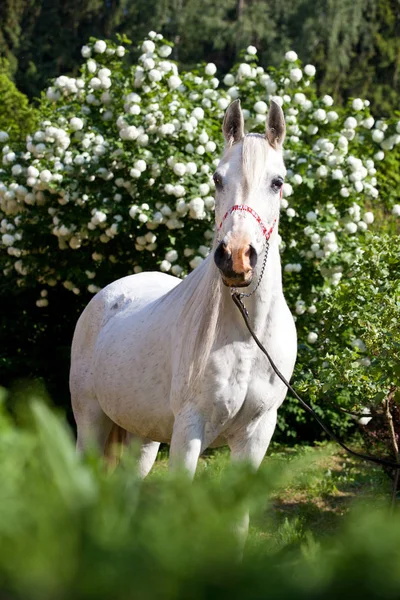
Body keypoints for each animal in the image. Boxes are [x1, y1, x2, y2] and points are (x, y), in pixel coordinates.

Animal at [70, 98, 296, 482]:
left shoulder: (256, 435)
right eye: (217, 179)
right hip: (90, 423)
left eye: (277, 182)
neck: (246, 336)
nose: (236, 257)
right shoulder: (189, 431)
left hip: (141, 437)